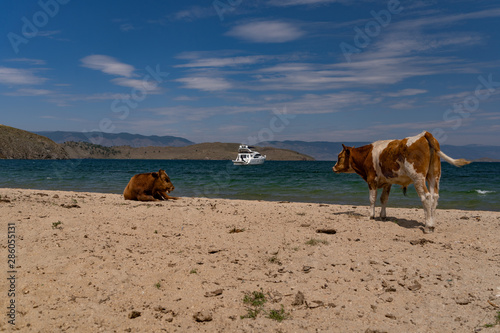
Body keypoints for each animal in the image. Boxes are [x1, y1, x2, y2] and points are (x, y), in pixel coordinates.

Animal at [334, 131, 470, 232]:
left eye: (339, 157)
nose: (333, 167)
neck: (367, 154)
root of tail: (424, 134)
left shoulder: (371, 179)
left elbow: (372, 199)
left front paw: (371, 216)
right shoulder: (387, 182)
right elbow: (384, 199)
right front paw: (383, 216)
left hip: (418, 177)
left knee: (426, 197)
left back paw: (428, 226)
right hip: (434, 175)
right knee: (434, 197)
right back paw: (432, 223)